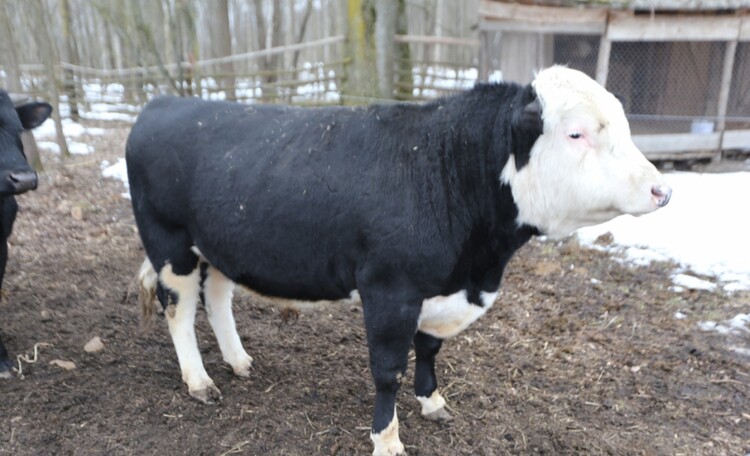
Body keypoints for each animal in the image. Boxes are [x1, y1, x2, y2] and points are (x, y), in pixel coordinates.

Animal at [125, 66, 676, 454]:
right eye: (577, 134)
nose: (662, 190)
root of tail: (161, 102)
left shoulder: (440, 289)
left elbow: (429, 350)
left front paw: (432, 402)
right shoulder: (389, 289)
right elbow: (387, 368)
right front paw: (386, 439)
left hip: (219, 246)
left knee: (217, 296)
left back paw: (239, 361)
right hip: (170, 244)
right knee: (180, 309)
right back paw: (200, 381)